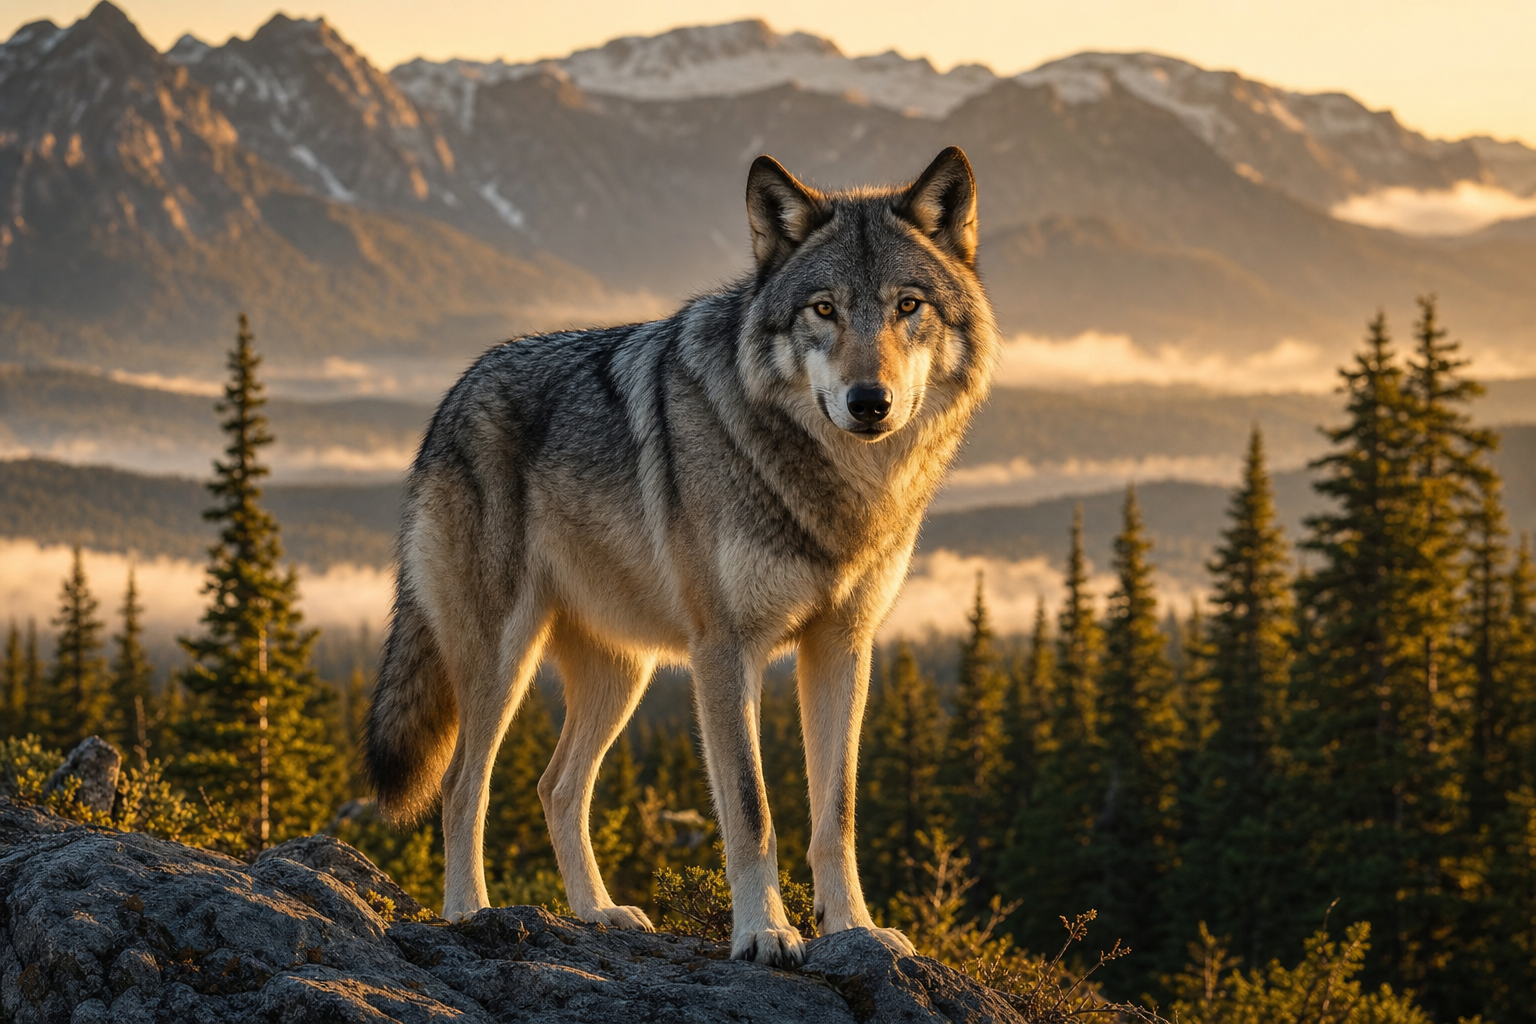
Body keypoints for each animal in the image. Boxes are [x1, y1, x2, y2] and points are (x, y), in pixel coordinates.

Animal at [362, 146, 999, 967]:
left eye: (908, 306)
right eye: (823, 309)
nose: (869, 401)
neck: (836, 489)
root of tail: (450, 398)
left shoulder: (842, 646)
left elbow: (838, 813)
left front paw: (854, 928)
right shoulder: (726, 650)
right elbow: (753, 811)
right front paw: (764, 932)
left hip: (622, 675)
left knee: (556, 787)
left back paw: (598, 913)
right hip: (502, 662)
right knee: (462, 786)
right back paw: (469, 912)